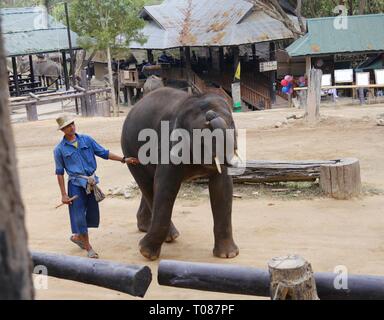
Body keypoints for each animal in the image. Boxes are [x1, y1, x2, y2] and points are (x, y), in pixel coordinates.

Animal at [121, 87, 240, 260]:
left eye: (232, 124)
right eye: (202, 135)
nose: (211, 115)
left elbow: (222, 186)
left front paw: (228, 255)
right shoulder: (170, 146)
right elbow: (165, 185)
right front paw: (146, 253)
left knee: (149, 185)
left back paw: (145, 227)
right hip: (131, 150)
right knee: (148, 185)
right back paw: (170, 236)